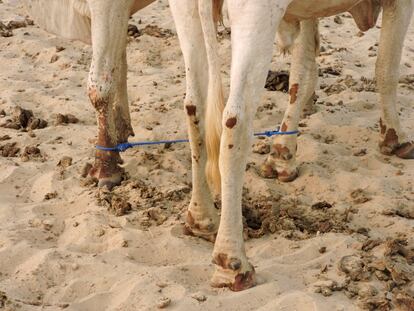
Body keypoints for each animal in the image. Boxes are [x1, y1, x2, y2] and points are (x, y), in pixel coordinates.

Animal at [25, 0, 410, 292]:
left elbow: (303, 71)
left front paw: (283, 154)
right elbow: (386, 68)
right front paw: (396, 138)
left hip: (186, 14)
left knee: (193, 106)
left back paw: (199, 216)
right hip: (253, 15)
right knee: (234, 122)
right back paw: (231, 261)